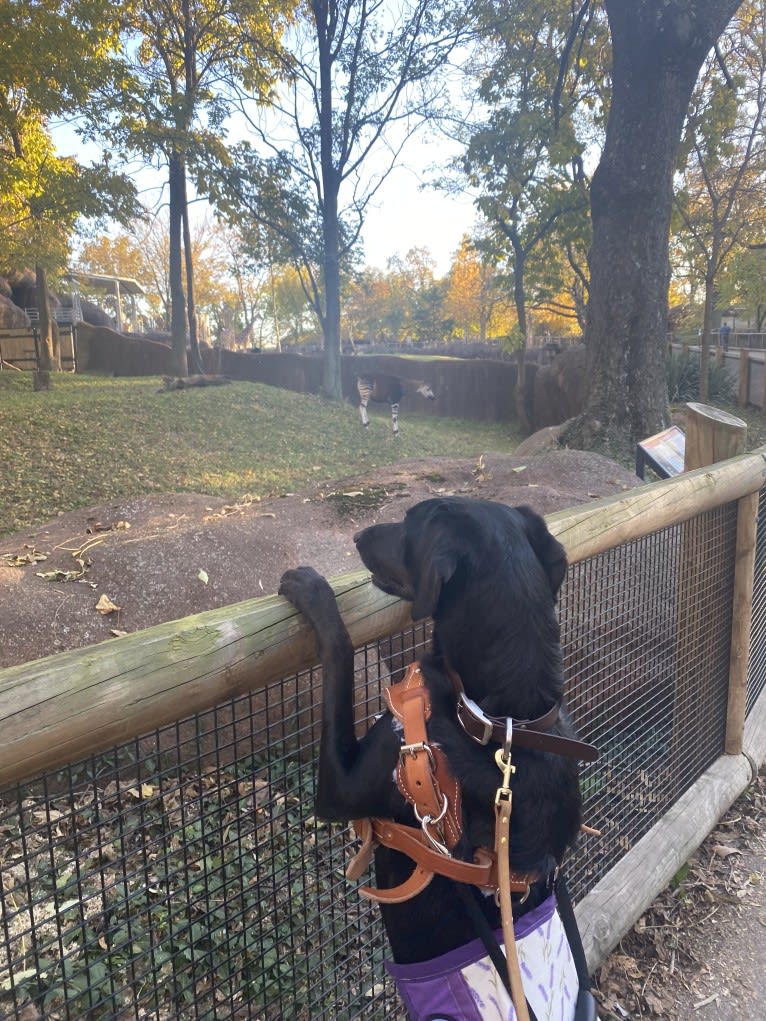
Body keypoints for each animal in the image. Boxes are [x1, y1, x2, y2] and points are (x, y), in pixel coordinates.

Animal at [279, 498, 584, 967]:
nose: (357, 537)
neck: (503, 719)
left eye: (408, 523)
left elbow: (341, 652)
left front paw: (313, 591)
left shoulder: (345, 783)